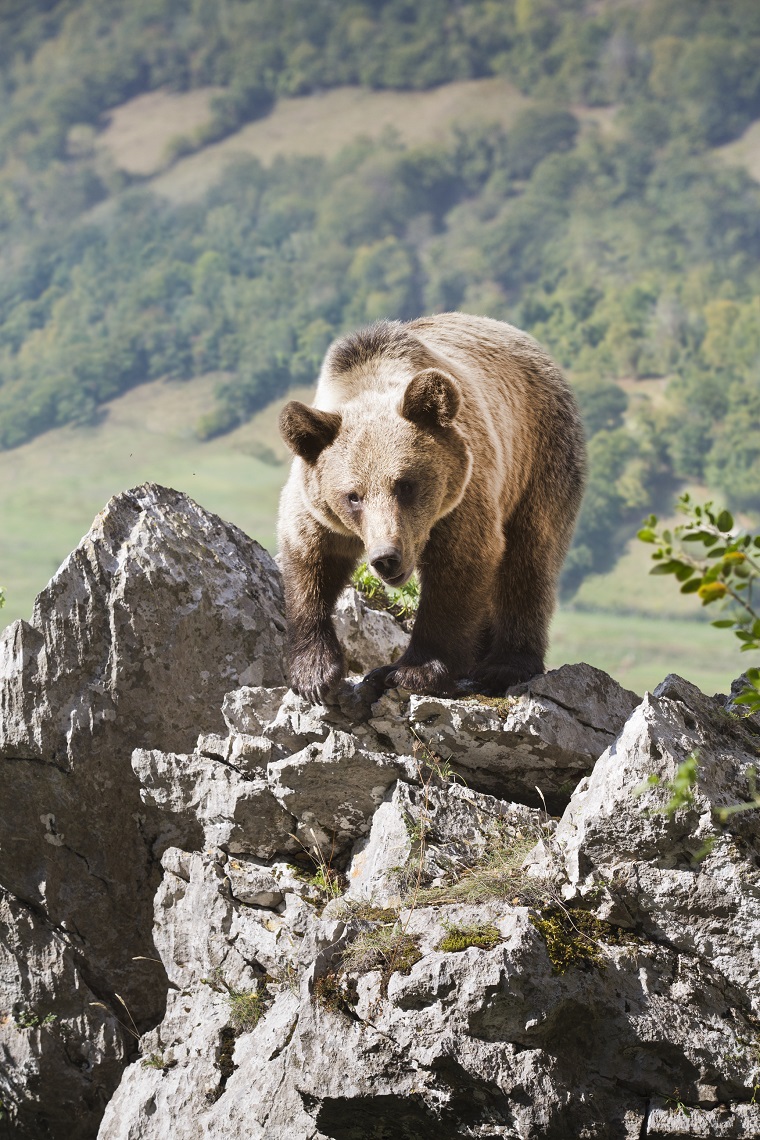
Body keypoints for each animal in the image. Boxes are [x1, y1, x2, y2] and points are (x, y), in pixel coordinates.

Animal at [276, 314, 587, 702]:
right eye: (353, 496)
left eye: (405, 484)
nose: (386, 557)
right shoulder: (316, 506)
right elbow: (309, 562)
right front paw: (314, 674)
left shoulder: (461, 497)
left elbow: (459, 567)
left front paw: (415, 671)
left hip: (539, 457)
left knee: (528, 557)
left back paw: (504, 664)